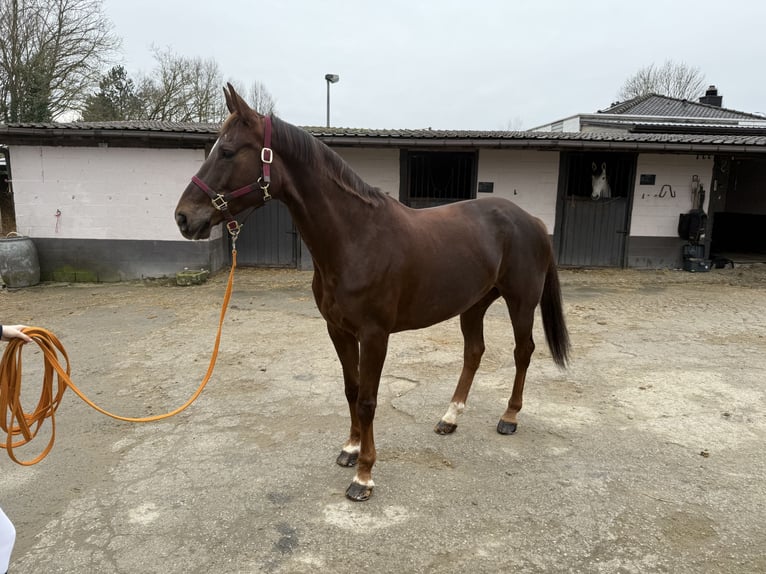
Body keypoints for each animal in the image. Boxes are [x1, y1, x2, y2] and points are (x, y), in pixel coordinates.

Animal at [174, 83, 568, 502]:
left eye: (228, 151)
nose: (183, 217)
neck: (356, 237)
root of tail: (533, 220)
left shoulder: (375, 335)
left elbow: (367, 400)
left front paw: (364, 475)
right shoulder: (338, 330)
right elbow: (351, 389)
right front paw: (350, 449)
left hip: (521, 301)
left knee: (523, 352)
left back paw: (509, 417)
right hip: (474, 305)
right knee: (474, 353)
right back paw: (449, 417)